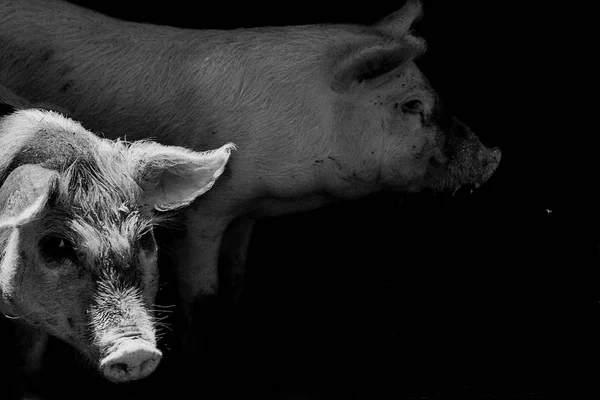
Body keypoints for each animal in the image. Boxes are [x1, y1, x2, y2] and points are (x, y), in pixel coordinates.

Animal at [0, 0, 500, 356]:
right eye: (411, 106)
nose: (492, 156)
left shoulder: (247, 212)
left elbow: (238, 275)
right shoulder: (203, 213)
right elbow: (203, 297)